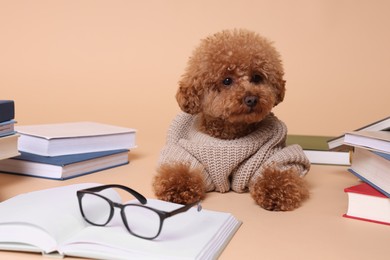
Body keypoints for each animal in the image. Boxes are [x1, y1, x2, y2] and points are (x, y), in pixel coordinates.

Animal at [152, 29, 310, 211]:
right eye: (227, 80)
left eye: (257, 77)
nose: (251, 99)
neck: (230, 134)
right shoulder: (183, 153)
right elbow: (179, 170)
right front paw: (178, 188)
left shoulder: (272, 152)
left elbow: (280, 170)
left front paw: (276, 191)